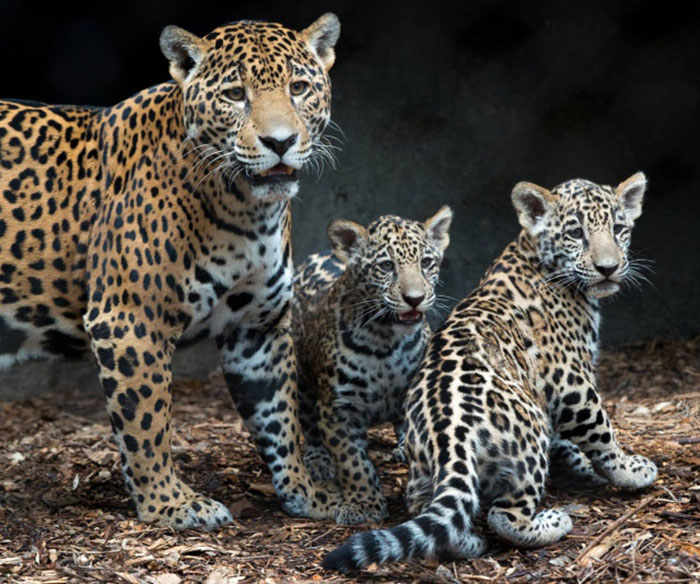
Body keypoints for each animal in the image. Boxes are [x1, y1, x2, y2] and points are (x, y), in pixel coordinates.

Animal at [0, 13, 344, 530]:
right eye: (235, 95)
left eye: (298, 88)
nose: (280, 142)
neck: (247, 211)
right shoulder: (130, 322)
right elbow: (148, 421)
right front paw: (170, 503)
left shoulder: (257, 329)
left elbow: (280, 417)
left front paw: (306, 491)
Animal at [292, 208, 453, 525]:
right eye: (387, 266)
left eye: (426, 263)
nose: (414, 299)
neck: (385, 339)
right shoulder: (338, 407)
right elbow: (352, 462)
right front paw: (364, 504)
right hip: (303, 379)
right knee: (308, 421)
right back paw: (318, 460)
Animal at [323, 173, 658, 571]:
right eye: (576, 233)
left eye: (619, 229)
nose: (609, 267)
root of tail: (450, 436)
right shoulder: (570, 381)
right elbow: (602, 431)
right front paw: (629, 469)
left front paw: (582, 467)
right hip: (527, 442)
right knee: (506, 516)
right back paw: (553, 521)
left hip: (425, 469)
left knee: (429, 511)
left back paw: (467, 540)